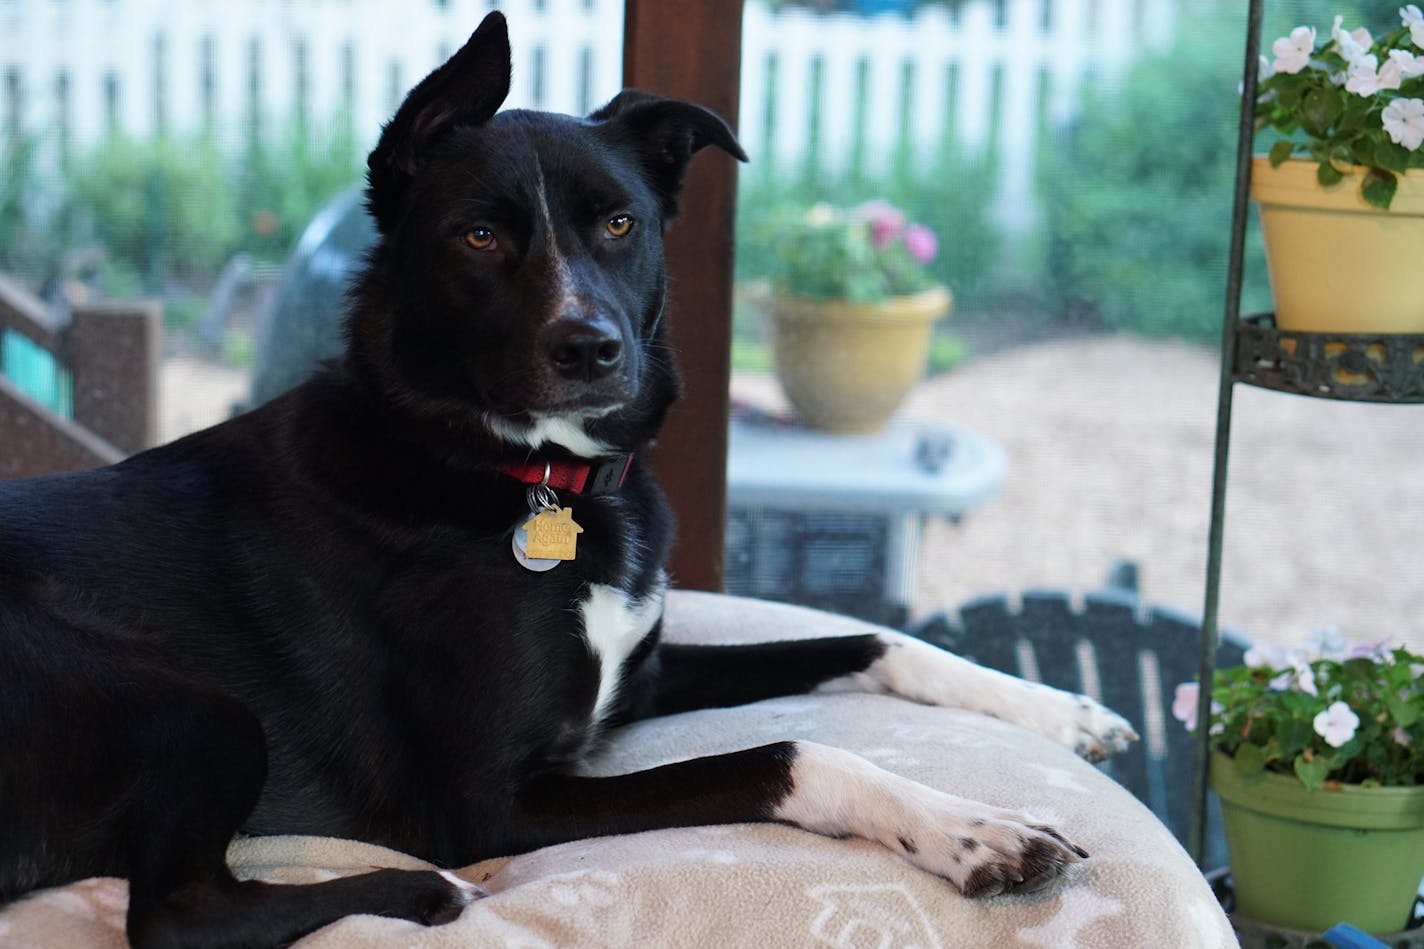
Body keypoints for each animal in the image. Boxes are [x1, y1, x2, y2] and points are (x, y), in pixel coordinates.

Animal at [0, 11, 1133, 940]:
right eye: (479, 234)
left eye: (620, 222)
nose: (588, 347)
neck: (529, 477)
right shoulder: (492, 800)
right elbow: (790, 754)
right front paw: (978, 833)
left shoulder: (636, 678)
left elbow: (870, 640)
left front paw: (1059, 709)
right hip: (199, 709)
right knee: (177, 916)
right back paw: (420, 891)